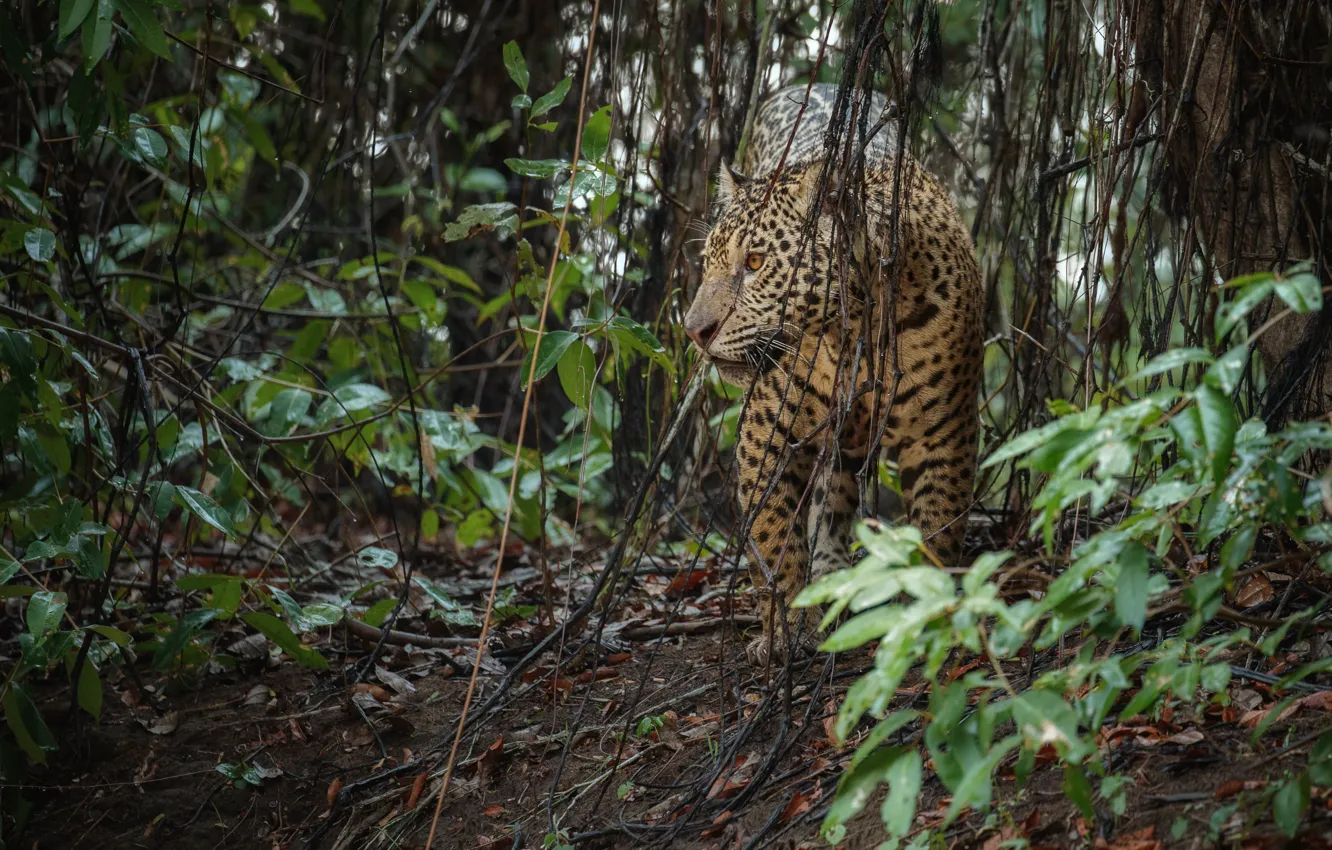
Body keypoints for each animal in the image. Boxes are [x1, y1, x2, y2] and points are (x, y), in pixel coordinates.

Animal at [684, 82, 984, 665]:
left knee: (835, 497)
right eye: (707, 263)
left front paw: (932, 614)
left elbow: (938, 527)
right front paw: (784, 632)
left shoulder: (943, 433)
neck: (856, 327)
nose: (694, 331)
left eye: (755, 263)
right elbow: (773, 539)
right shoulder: (765, 432)